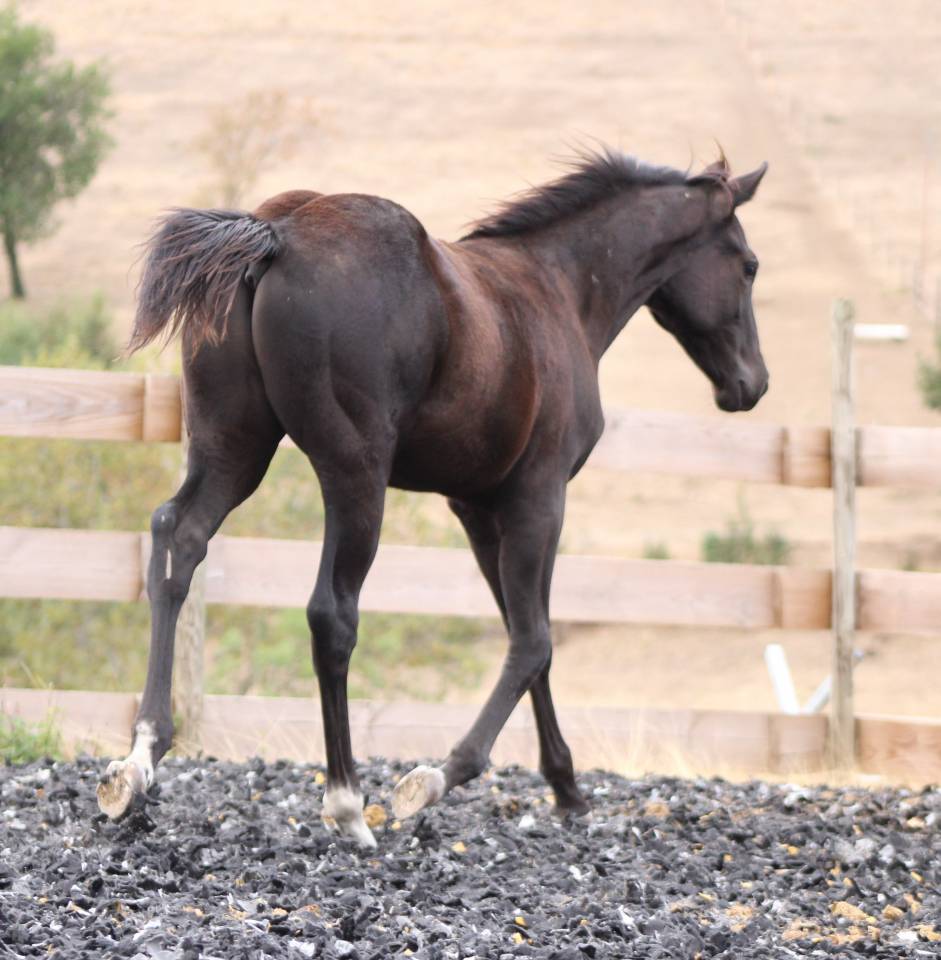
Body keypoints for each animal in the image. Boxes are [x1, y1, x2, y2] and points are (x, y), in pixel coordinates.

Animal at [96, 147, 768, 846]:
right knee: (331, 614)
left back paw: (139, 761)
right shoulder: (539, 498)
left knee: (178, 541)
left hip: (233, 449)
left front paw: (567, 790)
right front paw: (436, 778)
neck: (559, 290)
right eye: (748, 265)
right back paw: (347, 802)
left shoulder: (476, 508)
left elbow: (526, 635)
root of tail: (277, 234)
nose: (752, 384)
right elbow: (534, 640)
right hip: (355, 476)